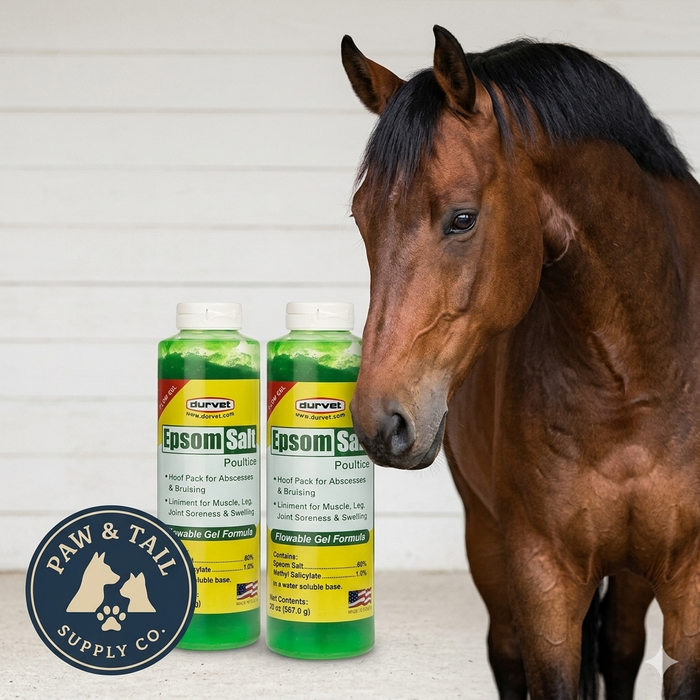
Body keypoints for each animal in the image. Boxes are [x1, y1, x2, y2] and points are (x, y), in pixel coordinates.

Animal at [342, 26, 700, 700]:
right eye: (361, 217)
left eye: (462, 218)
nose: (381, 423)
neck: (635, 378)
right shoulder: (542, 577)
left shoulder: (689, 581)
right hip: (487, 542)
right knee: (505, 652)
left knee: (620, 647)